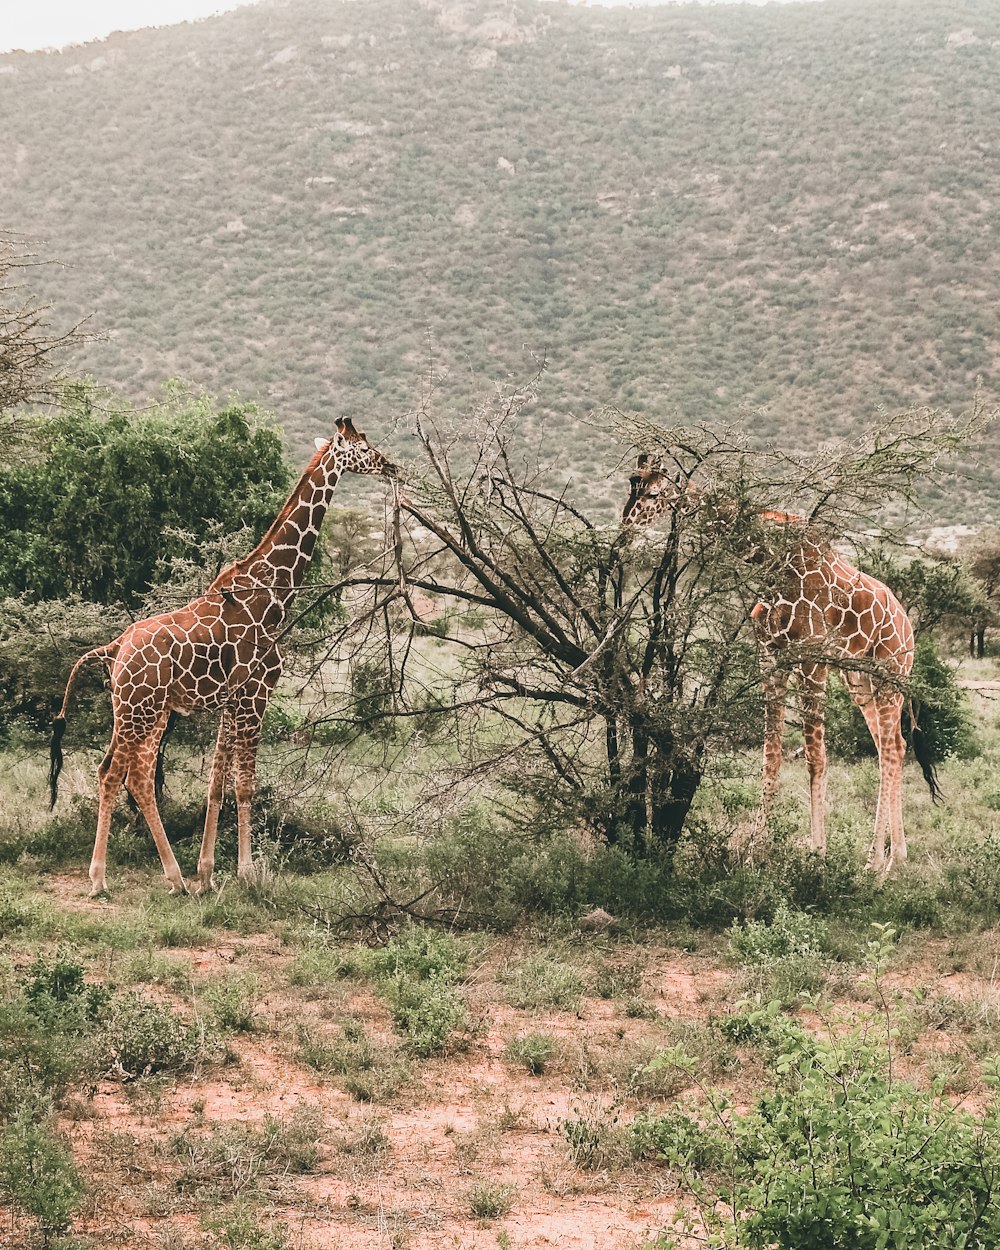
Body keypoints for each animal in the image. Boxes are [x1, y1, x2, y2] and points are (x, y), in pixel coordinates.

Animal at [49, 420, 395, 900]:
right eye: (363, 447)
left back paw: (170, 877)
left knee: (126, 774)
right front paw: (247, 872)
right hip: (140, 710)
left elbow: (215, 783)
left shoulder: (231, 701)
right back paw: (109, 878)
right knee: (118, 774)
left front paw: (208, 872)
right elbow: (245, 785)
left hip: (142, 711)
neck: (272, 594)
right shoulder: (256, 693)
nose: (392, 465)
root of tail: (115, 648)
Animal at [620, 455, 940, 875]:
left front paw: (816, 853)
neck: (771, 561)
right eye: (631, 485)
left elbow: (815, 758)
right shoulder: (770, 658)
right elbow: (770, 756)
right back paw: (894, 857)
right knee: (895, 747)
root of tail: (907, 625)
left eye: (654, 493)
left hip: (891, 674)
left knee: (889, 751)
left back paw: (876, 863)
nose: (624, 527)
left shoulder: (811, 659)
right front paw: (756, 851)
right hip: (859, 678)